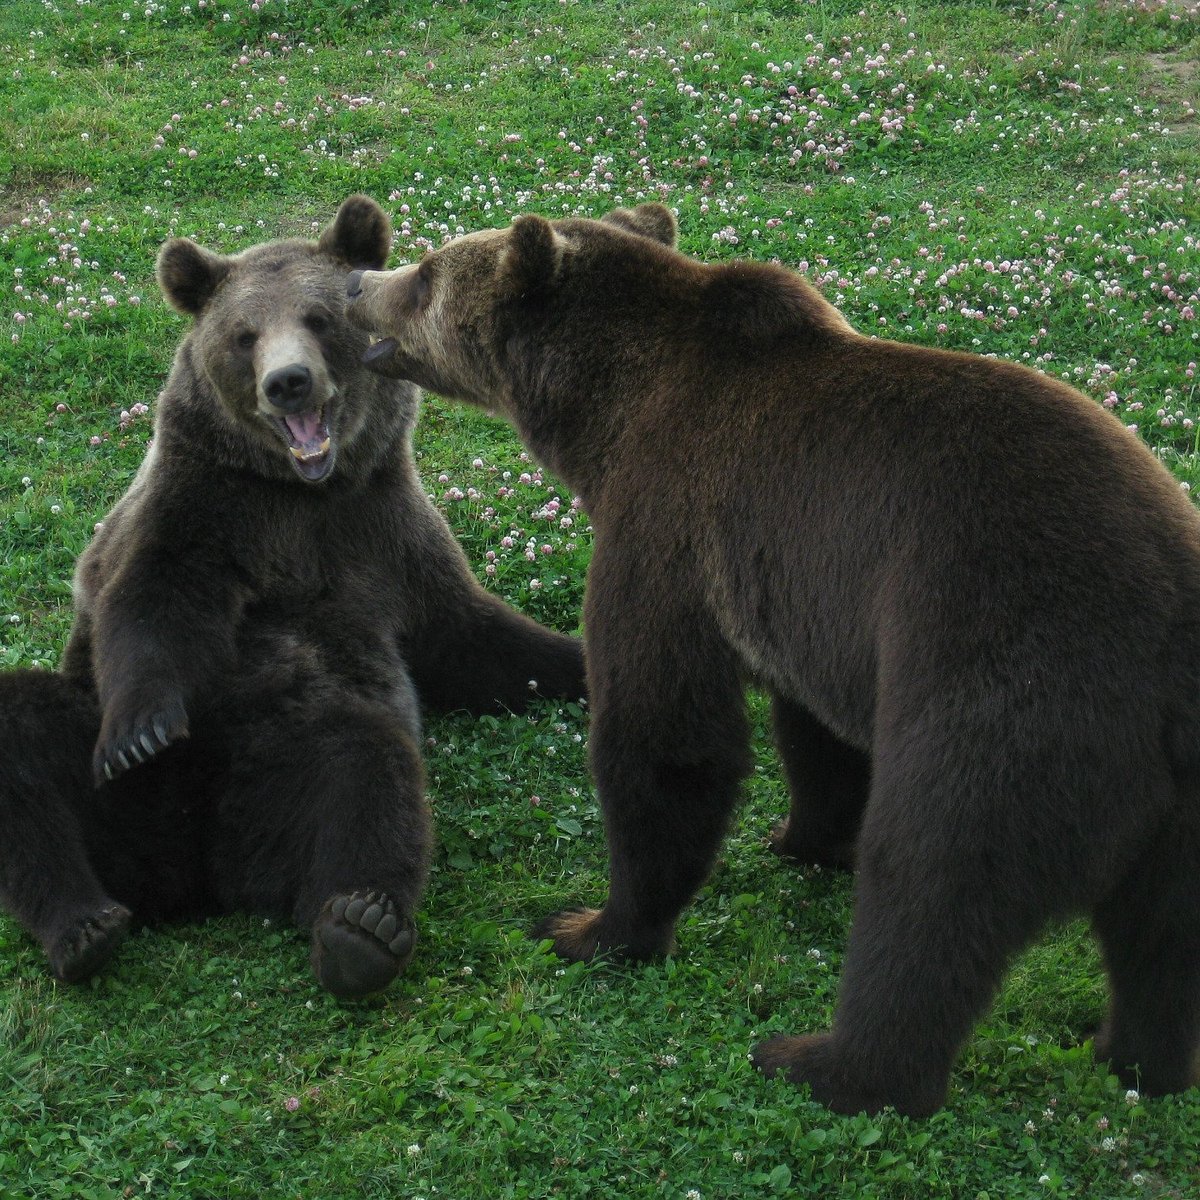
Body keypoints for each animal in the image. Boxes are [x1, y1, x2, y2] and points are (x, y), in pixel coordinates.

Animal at [0, 196, 585, 998]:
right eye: (244, 334)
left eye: (319, 317)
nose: (288, 382)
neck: (304, 492)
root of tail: (198, 876)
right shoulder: (205, 509)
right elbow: (148, 603)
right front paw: (141, 731)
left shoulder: (383, 536)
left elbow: (477, 640)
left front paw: (587, 663)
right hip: (118, 798)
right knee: (23, 739)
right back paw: (82, 925)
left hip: (285, 768)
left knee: (364, 768)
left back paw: (359, 928)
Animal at [340, 199, 1200, 1113]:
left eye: (428, 272)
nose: (359, 284)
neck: (605, 415)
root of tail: (1166, 658)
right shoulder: (808, 599)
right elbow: (816, 732)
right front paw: (802, 833)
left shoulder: (669, 526)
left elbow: (666, 736)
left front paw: (597, 926)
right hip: (1176, 797)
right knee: (1162, 937)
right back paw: (1136, 1057)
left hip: (1011, 680)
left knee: (933, 881)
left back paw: (827, 1061)